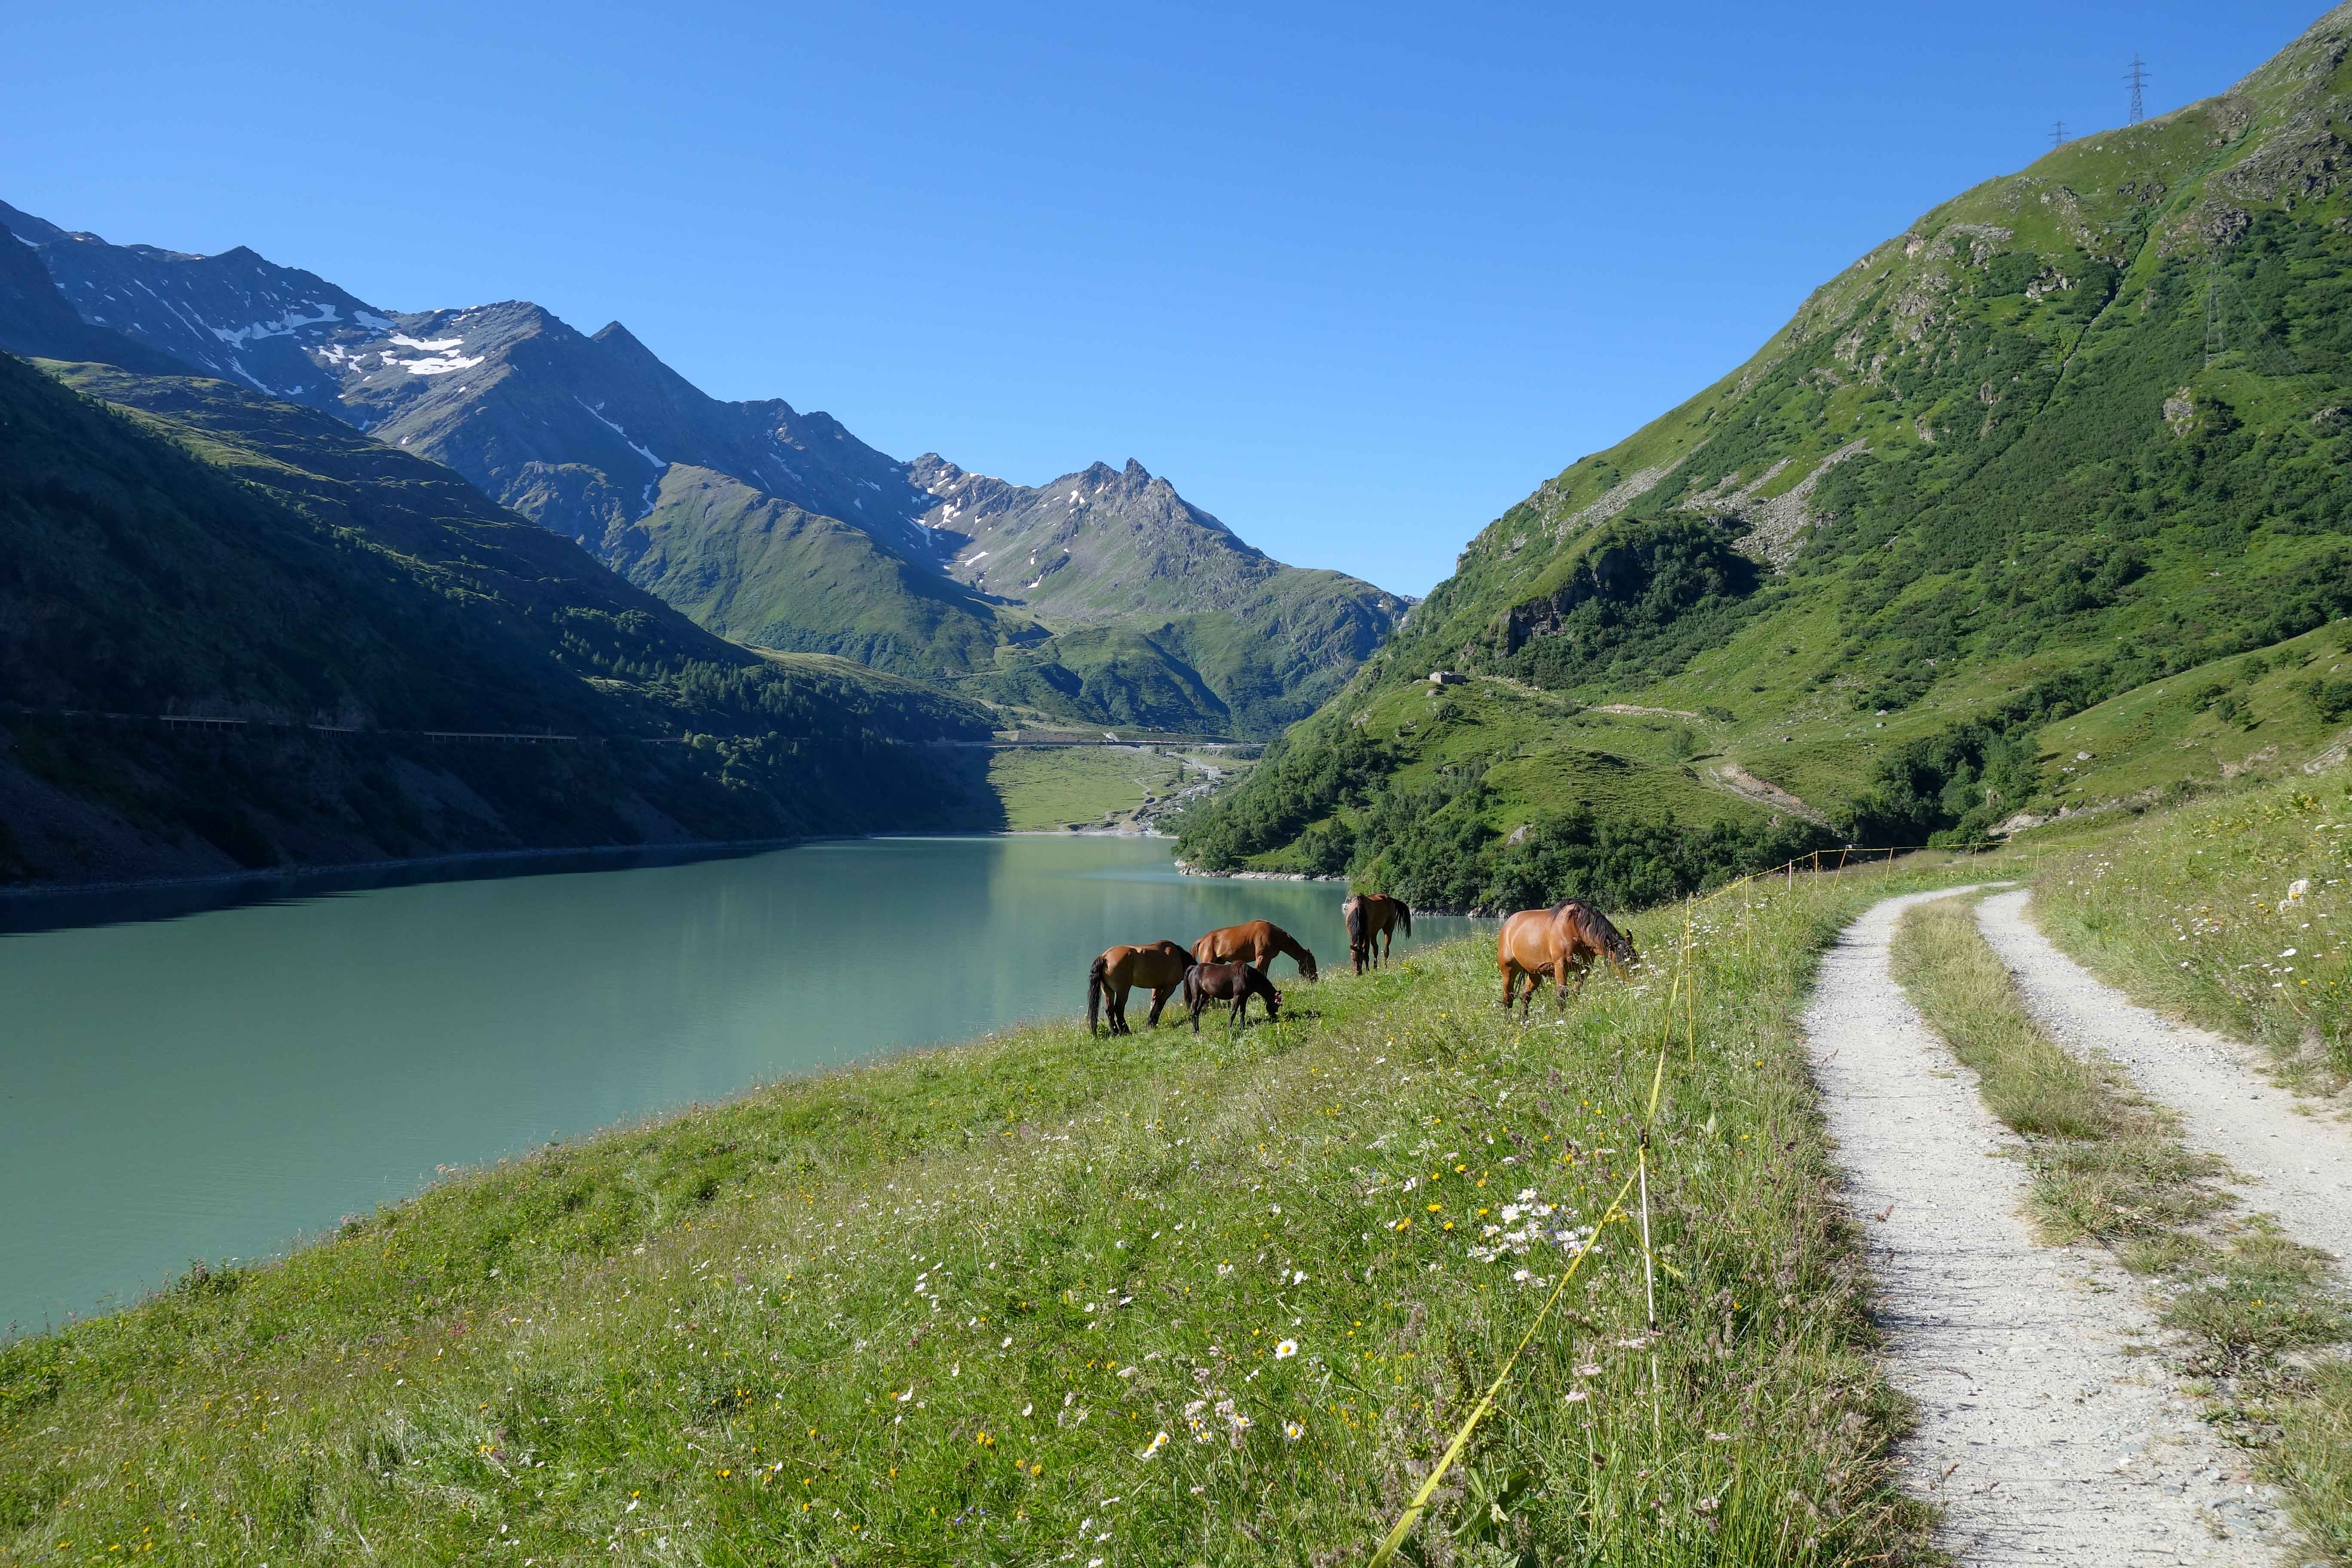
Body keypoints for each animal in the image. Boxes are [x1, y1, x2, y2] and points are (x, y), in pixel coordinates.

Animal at [1087, 940, 1194, 1034]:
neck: (1179, 957)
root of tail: (1105, 958)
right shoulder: (1170, 987)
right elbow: (1160, 1005)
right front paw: (1152, 1024)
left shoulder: (1157, 987)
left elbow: (1154, 1004)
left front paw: (1150, 1024)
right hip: (1123, 991)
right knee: (1118, 1009)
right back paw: (1126, 1031)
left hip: (1108, 991)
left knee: (1110, 1011)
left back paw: (1116, 1032)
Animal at [1176, 964, 1289, 1034]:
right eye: (1277, 1004)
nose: (1275, 1018)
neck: (1248, 976)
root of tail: (1194, 968)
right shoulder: (1237, 996)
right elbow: (1233, 1012)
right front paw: (1230, 1028)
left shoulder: (1244, 997)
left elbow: (1243, 1012)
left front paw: (1242, 1026)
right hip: (1196, 995)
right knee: (1194, 1011)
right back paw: (1195, 1031)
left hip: (1205, 996)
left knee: (1198, 1012)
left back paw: (1198, 1030)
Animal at [1194, 921, 1326, 983]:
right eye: (1311, 963)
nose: (1315, 979)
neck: (1275, 936)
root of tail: (1203, 940)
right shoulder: (1262, 957)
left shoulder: (1268, 959)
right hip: (1209, 960)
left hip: (1220, 961)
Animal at [1345, 893, 1411, 968]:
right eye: (1353, 959)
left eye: (1361, 959)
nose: (1358, 972)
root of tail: (1390, 898)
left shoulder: (1367, 937)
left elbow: (1366, 956)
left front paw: (1368, 970)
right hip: (1374, 932)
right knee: (1376, 949)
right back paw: (1375, 968)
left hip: (1388, 930)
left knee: (1386, 951)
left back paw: (1385, 967)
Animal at [1505, 893, 1637, 1020]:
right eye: (1621, 964)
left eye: (1636, 960)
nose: (1634, 984)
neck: (1576, 928)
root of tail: (1508, 925)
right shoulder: (1561, 967)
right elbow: (1561, 995)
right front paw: (1563, 1020)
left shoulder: (1585, 968)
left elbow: (1576, 992)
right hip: (1508, 971)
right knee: (1508, 1000)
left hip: (1534, 973)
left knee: (1525, 995)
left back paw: (1524, 1021)